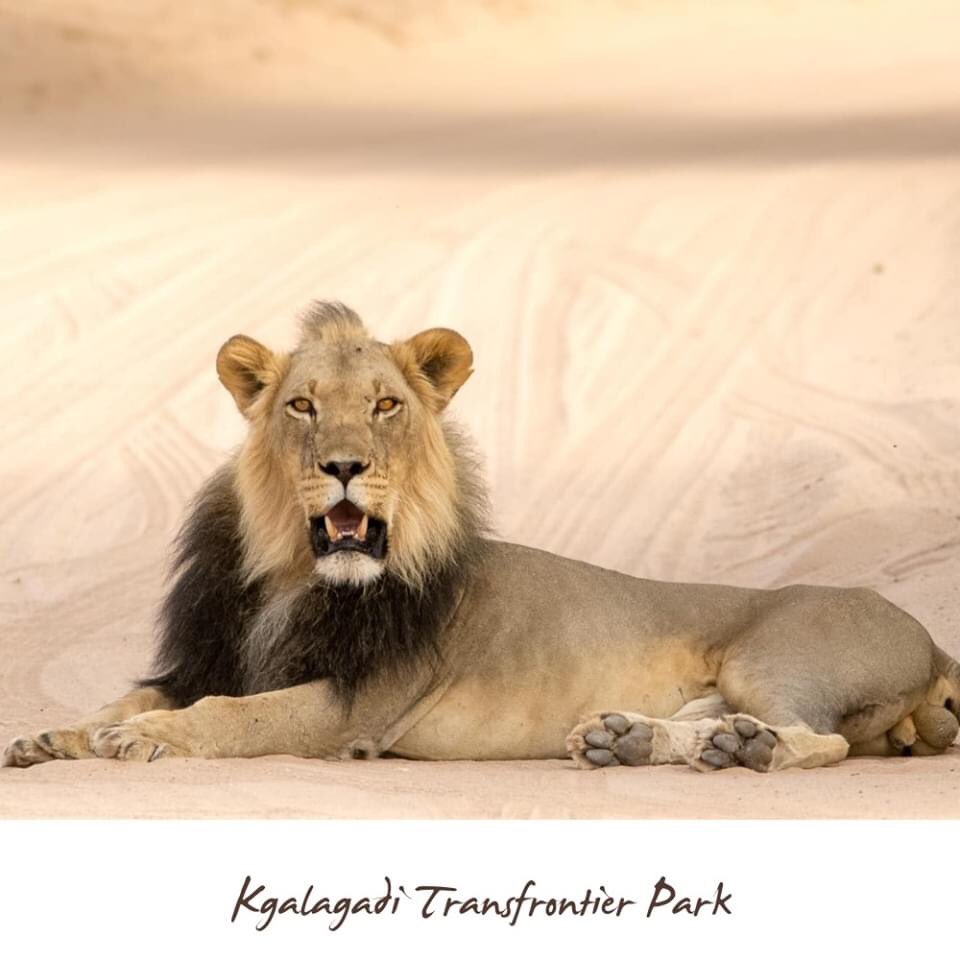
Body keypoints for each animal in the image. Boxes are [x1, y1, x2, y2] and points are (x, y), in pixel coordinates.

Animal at [5, 301, 959, 774]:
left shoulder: (358, 701)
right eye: (302, 405)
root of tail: (927, 635)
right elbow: (133, 698)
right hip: (721, 686)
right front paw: (55, 737)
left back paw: (746, 751)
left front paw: (152, 740)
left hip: (775, 655)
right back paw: (637, 741)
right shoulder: (208, 655)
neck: (289, 571)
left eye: (387, 405)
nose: (345, 465)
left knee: (822, 740)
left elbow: (236, 715)